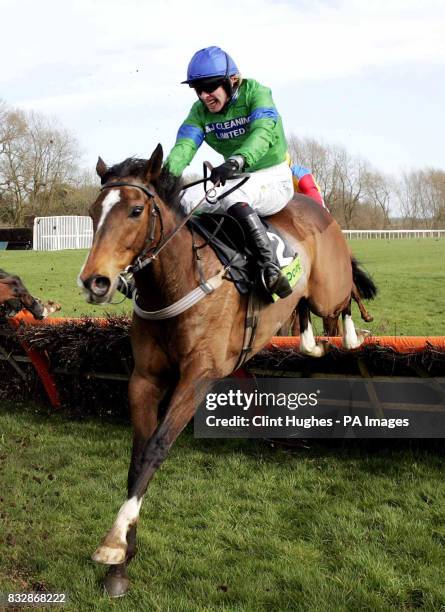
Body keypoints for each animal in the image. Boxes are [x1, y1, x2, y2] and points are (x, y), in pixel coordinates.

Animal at [77, 146, 374, 596]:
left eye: (134, 210)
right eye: (94, 212)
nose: (95, 282)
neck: (177, 281)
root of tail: (316, 207)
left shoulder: (198, 376)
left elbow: (156, 448)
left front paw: (113, 544)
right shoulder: (144, 379)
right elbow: (138, 453)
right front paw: (123, 560)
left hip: (330, 288)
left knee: (345, 295)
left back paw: (354, 333)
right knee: (306, 314)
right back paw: (309, 338)